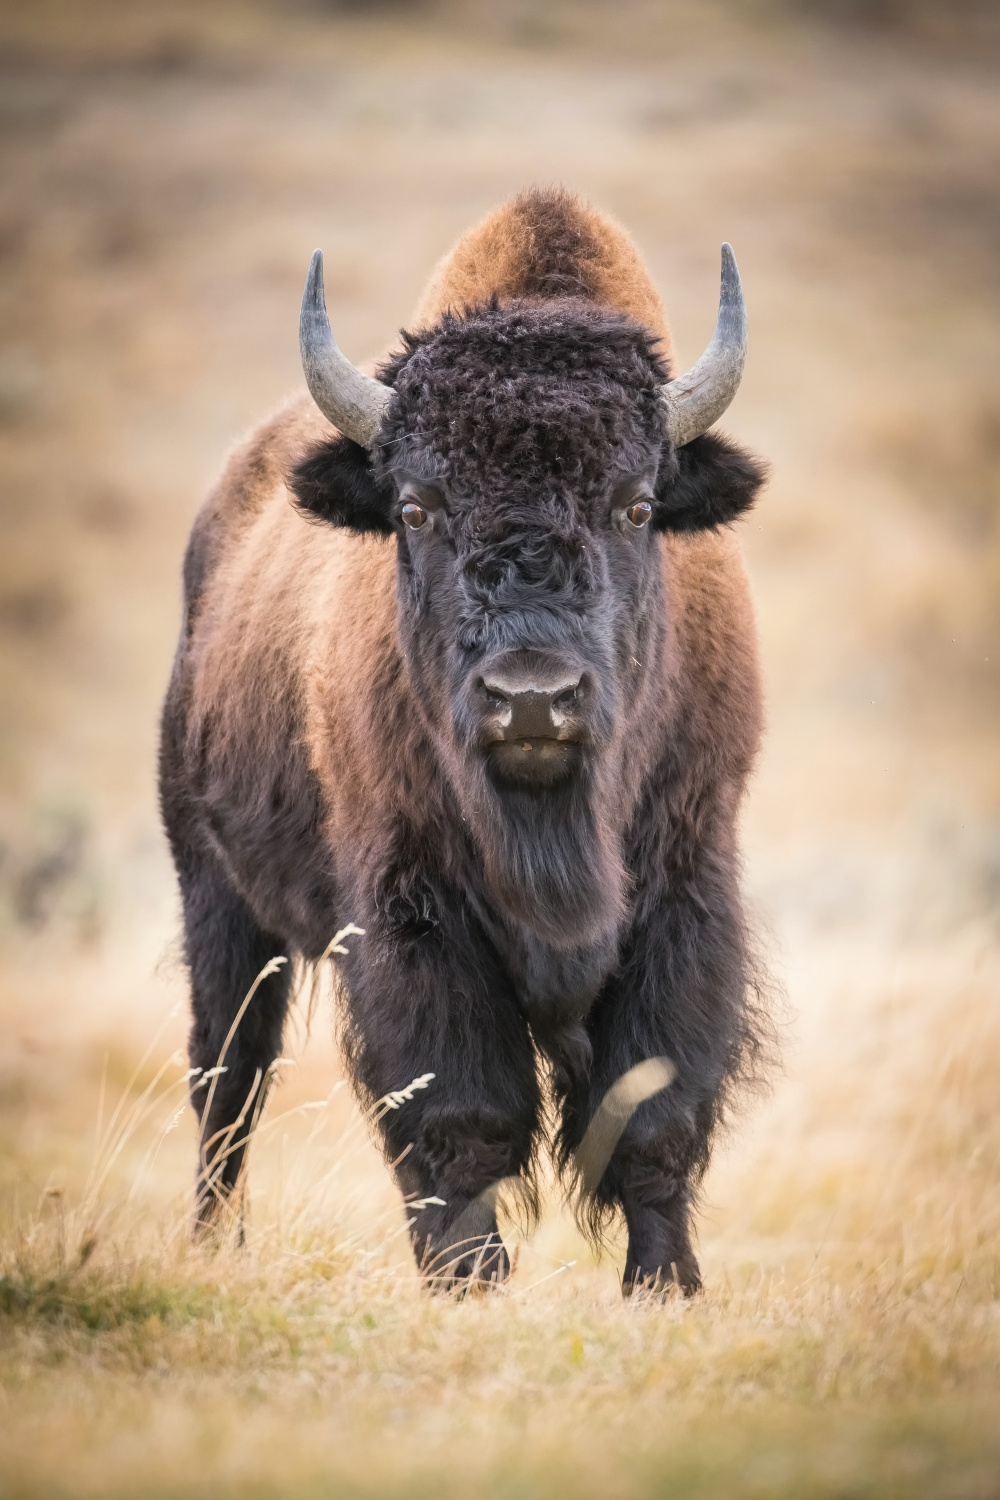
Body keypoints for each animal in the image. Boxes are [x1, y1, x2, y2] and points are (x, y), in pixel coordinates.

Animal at [160, 184, 773, 1290]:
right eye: (414, 507)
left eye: (636, 506)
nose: (531, 699)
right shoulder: (413, 910)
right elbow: (461, 1111)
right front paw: (469, 1282)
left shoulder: (686, 886)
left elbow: (655, 1112)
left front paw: (665, 1286)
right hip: (215, 892)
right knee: (228, 1080)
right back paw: (214, 1246)